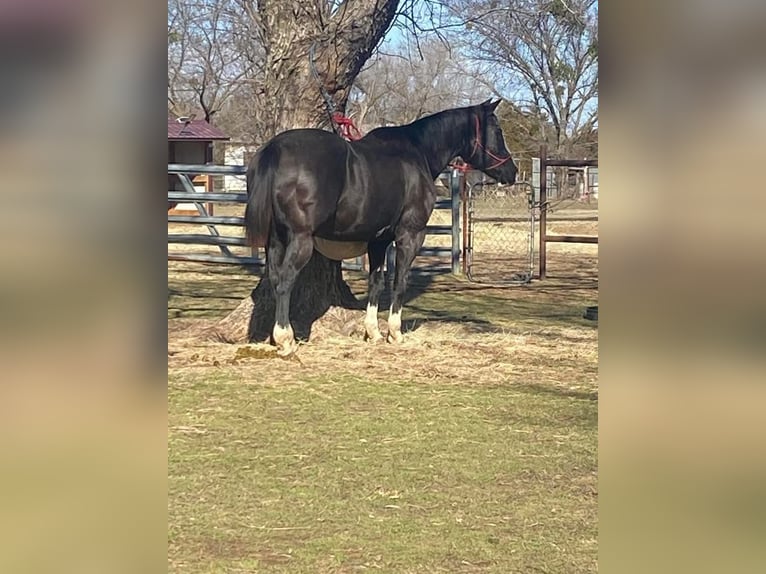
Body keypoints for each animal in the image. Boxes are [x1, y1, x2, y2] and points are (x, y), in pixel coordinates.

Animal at [249, 99, 520, 356]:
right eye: (498, 129)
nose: (513, 172)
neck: (417, 152)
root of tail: (275, 150)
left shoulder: (378, 241)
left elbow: (376, 283)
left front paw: (374, 332)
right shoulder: (410, 235)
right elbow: (399, 281)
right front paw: (395, 333)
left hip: (275, 241)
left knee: (275, 278)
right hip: (300, 239)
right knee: (285, 281)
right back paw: (286, 339)